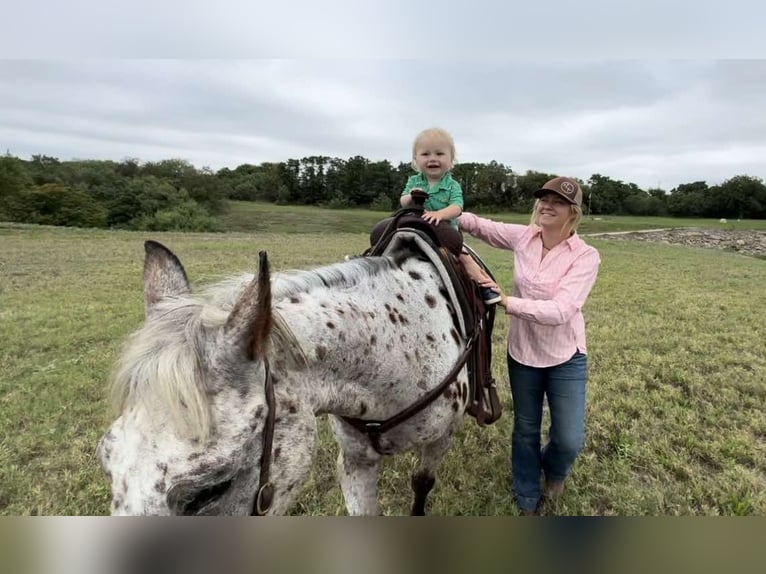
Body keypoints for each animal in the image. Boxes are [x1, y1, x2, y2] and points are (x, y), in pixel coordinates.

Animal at [99, 238, 488, 516]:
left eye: (207, 492)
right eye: (106, 461)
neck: (401, 343)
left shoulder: (441, 439)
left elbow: (422, 484)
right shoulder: (356, 460)